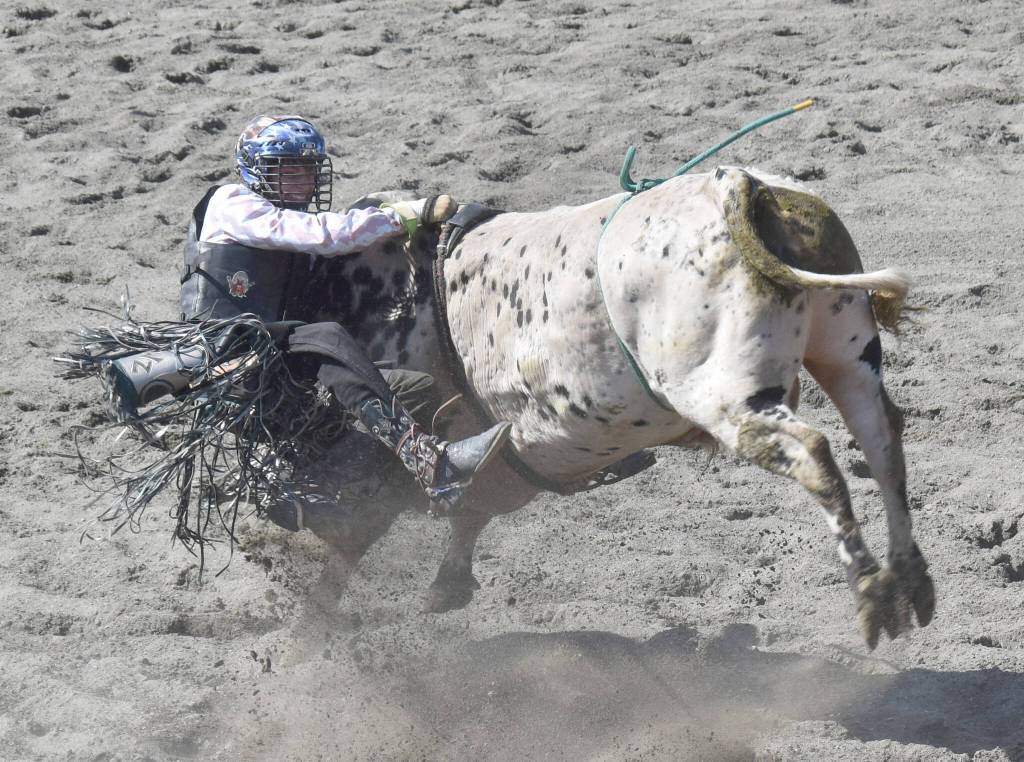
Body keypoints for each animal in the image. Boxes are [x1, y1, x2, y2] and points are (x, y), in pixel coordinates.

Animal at [301, 167, 934, 649]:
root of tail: (739, 186)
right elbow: (470, 505)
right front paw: (446, 584)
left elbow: (357, 535)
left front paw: (314, 619)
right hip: (846, 357)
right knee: (882, 439)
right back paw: (910, 581)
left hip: (728, 397)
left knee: (813, 451)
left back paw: (871, 592)